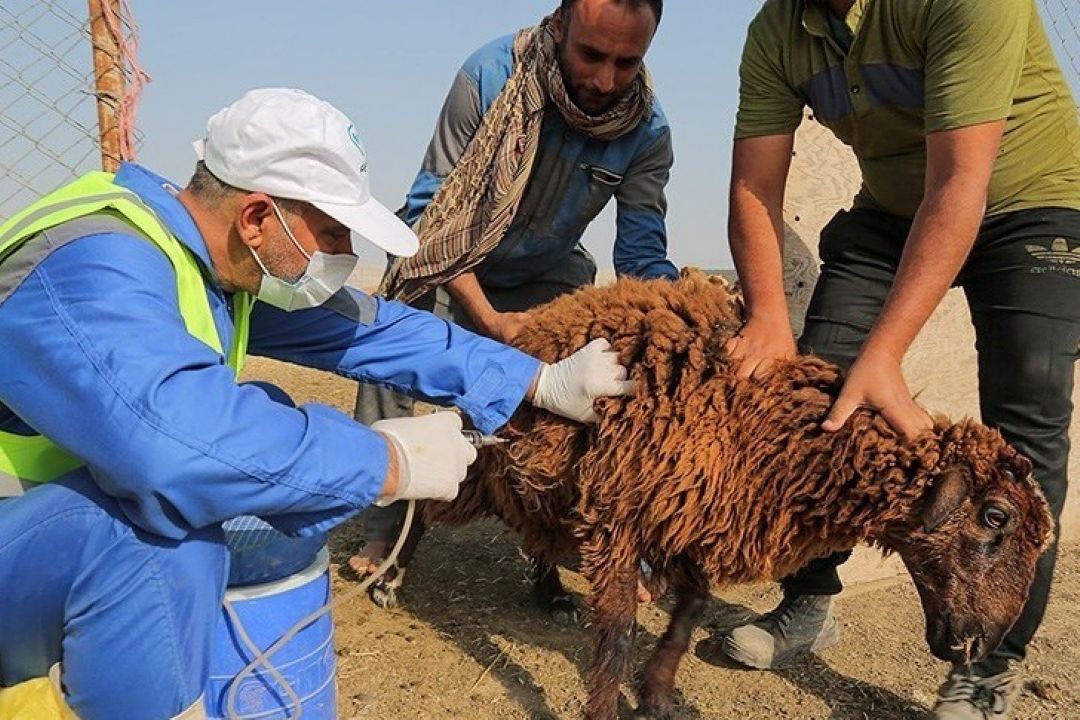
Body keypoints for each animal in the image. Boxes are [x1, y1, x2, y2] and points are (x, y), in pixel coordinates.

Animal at [423, 269, 1054, 720]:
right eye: (995, 516)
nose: (979, 645)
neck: (768, 427)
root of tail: (553, 309)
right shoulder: (620, 517)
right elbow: (618, 635)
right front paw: (611, 707)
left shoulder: (693, 520)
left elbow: (690, 614)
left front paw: (657, 695)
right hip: (492, 465)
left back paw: (551, 591)